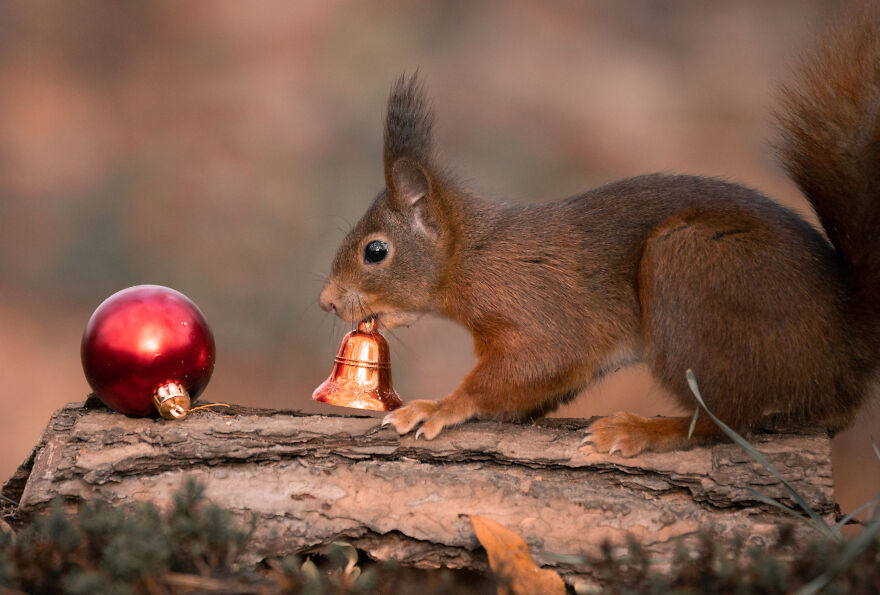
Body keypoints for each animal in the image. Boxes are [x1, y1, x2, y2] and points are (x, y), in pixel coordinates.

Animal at [318, 10, 880, 456]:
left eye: (375, 251)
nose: (327, 302)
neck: (472, 255)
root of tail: (849, 344)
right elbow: (547, 382)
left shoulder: (537, 304)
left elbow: (540, 359)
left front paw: (438, 406)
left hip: (688, 266)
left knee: (723, 419)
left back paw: (640, 431)